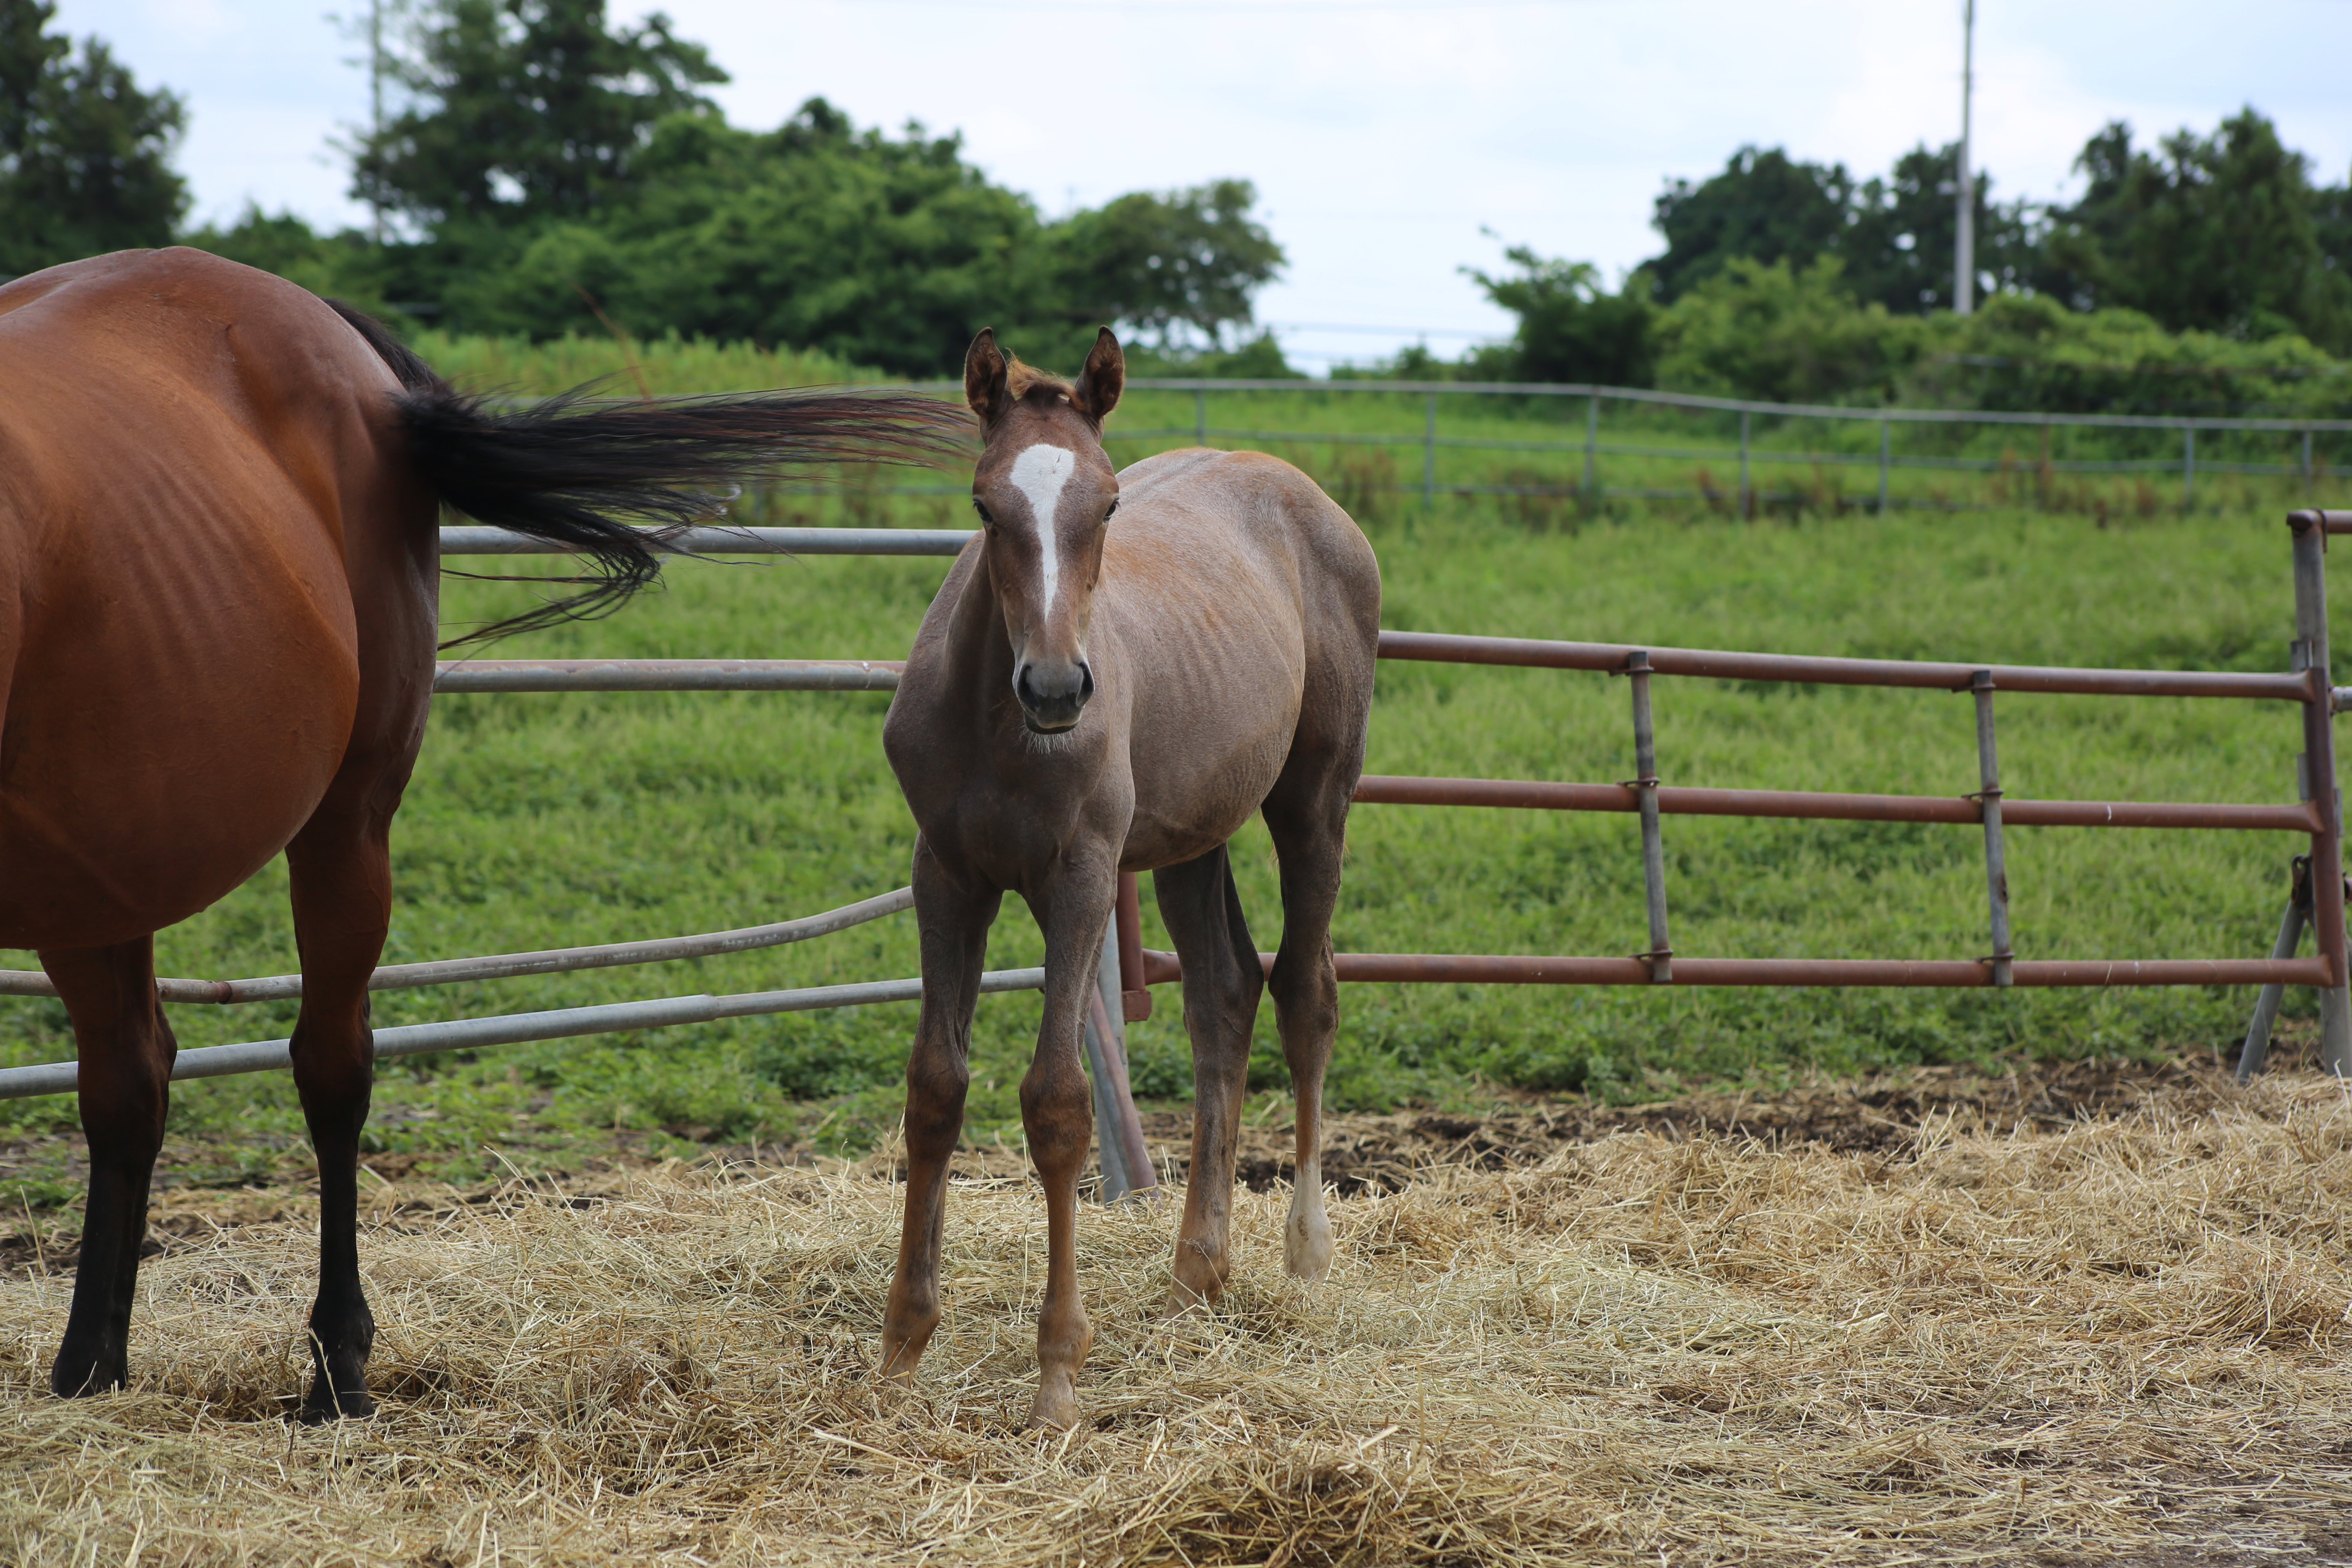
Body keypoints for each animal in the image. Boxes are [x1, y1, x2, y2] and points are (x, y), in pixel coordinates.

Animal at [0, 248, 960, 1420]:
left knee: (327, 1064)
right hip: (102, 868)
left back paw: (336, 1366)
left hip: (346, 819)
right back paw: (91, 1371)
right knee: (130, 1081)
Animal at [889, 324, 1383, 1429]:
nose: (1058, 688)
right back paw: (1198, 1268)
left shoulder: (1078, 876)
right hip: (1191, 841)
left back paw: (1303, 1250)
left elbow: (1058, 1104)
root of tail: (1309, 497)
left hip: (1313, 801)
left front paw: (1057, 1376)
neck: (999, 723)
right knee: (1223, 993)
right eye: (983, 503)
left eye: (1108, 502)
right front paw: (900, 1346)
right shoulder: (947, 874)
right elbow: (936, 1086)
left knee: (1306, 990)